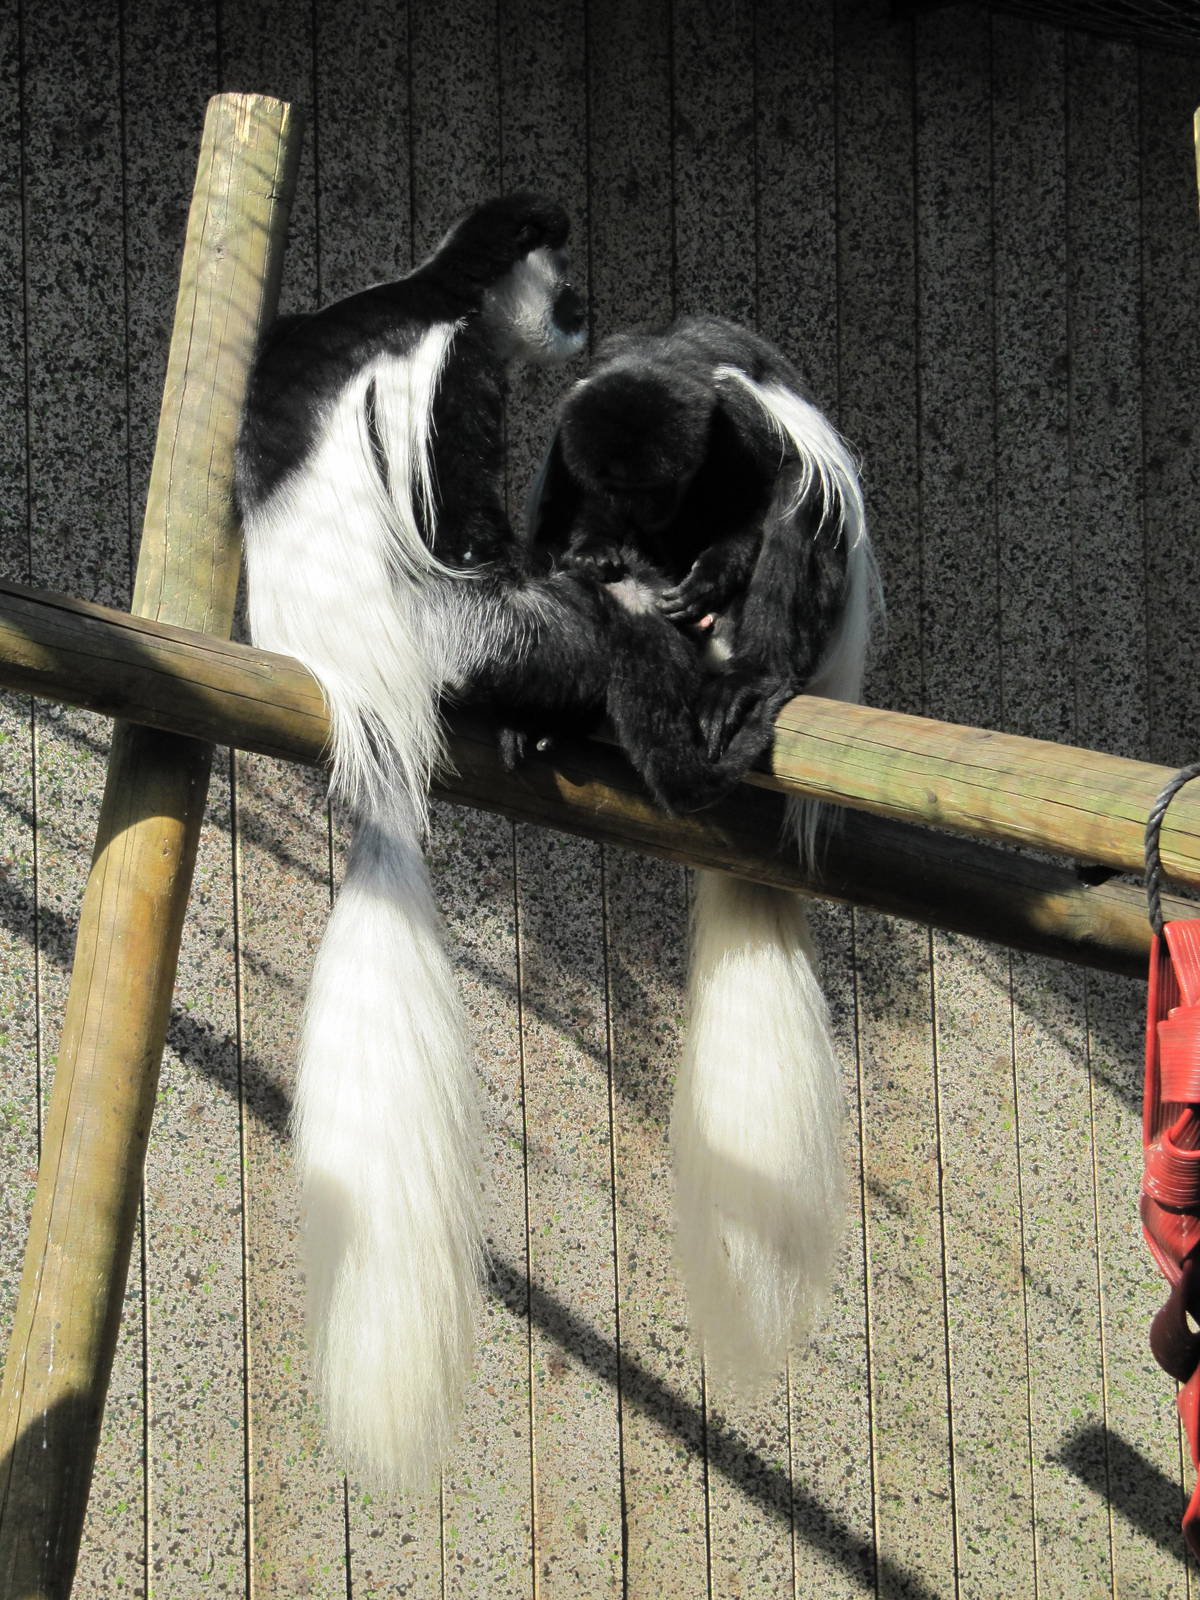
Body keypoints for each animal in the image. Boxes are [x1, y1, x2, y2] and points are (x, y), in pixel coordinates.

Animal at [235, 200, 776, 1490]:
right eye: (562, 276)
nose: (583, 306)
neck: (434, 285)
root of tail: (364, 696)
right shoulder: (457, 371)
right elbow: (469, 520)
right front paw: (614, 583)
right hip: (464, 639)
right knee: (567, 630)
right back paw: (671, 733)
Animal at [527, 314, 881, 1384]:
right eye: (623, 489)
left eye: (658, 486)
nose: (638, 519)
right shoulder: (568, 448)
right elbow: (553, 524)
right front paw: (595, 557)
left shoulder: (737, 422)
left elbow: (780, 498)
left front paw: (715, 570)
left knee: (801, 519)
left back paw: (742, 678)